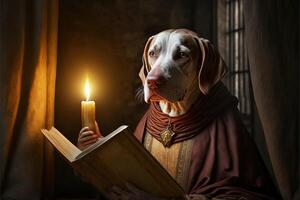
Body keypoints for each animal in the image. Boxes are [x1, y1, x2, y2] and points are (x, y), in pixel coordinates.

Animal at [78, 28, 278, 199]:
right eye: (152, 53)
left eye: (182, 55)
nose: (152, 81)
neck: (172, 117)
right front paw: (86, 141)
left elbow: (239, 192)